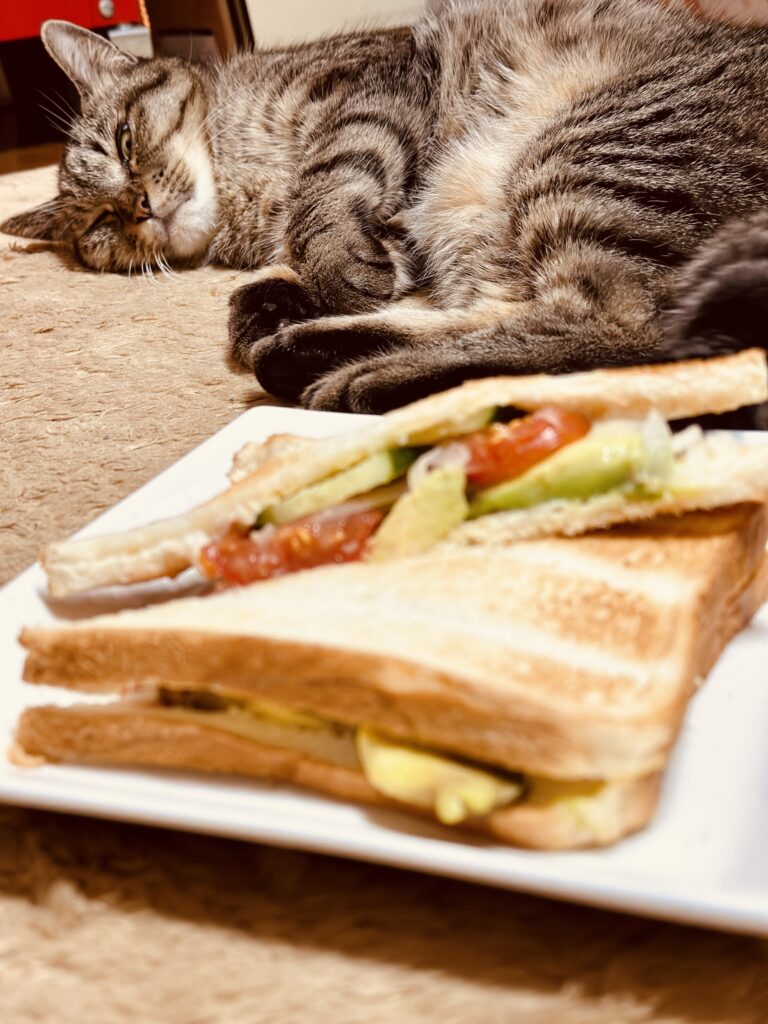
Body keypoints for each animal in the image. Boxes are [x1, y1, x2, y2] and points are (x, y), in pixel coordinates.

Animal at [3, 1, 768, 420]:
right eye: (99, 226)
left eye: (124, 142)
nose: (137, 206)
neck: (244, 199)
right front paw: (284, 296)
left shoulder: (367, 91)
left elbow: (327, 191)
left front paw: (331, 266)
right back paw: (301, 348)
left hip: (581, 155)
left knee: (622, 332)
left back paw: (352, 373)